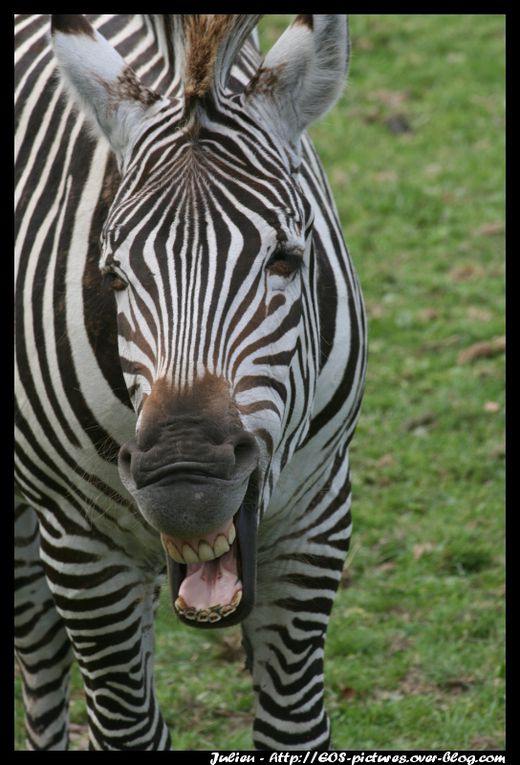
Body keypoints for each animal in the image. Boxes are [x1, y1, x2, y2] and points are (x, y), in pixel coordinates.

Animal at [15, 14, 366, 748]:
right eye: (113, 274)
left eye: (286, 259)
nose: (184, 484)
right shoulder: (80, 546)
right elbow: (125, 725)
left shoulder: (315, 517)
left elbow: (294, 728)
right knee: (40, 654)